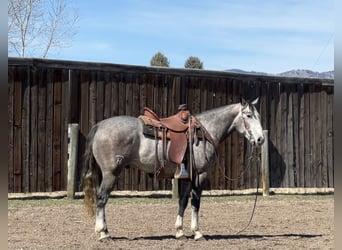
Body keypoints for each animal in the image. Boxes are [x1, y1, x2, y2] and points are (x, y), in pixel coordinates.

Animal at [83, 97, 264, 240]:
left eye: (258, 116)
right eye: (249, 116)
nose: (260, 139)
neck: (206, 131)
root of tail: (99, 126)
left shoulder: (188, 177)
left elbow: (183, 201)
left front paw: (179, 231)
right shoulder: (201, 174)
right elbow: (196, 202)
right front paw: (197, 232)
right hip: (111, 173)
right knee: (102, 198)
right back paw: (103, 233)